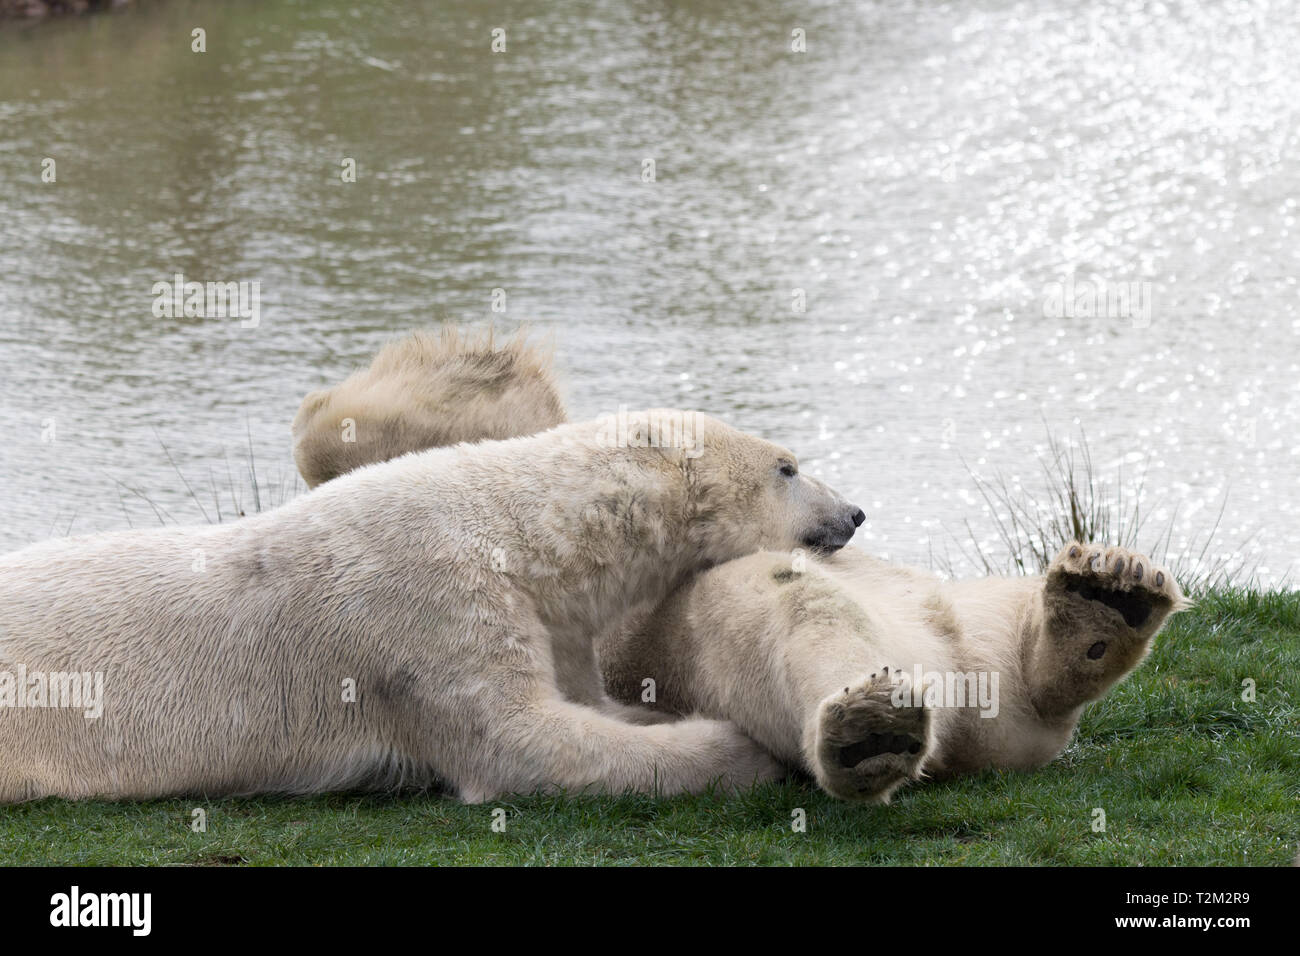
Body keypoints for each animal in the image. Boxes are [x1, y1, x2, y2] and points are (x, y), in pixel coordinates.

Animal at [0, 408, 864, 803]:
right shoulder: (430, 610)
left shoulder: (548, 618)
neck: (516, 532)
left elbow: (586, 704)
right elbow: (526, 744)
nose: (854, 513)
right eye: (788, 467)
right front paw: (742, 747)